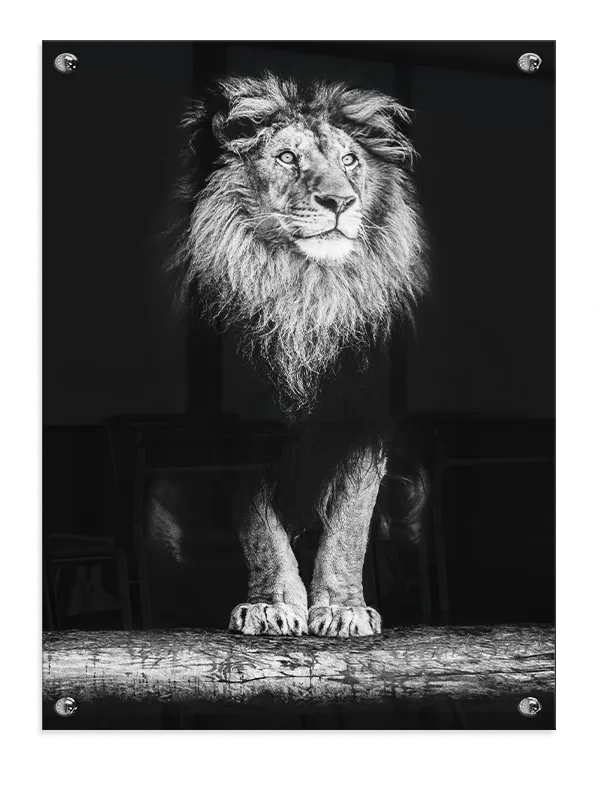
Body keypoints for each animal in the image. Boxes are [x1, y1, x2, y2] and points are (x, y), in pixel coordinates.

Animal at [165, 73, 429, 637]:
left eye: (350, 160)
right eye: (287, 157)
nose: (340, 201)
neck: (304, 294)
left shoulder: (367, 418)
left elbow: (350, 521)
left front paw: (343, 608)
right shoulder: (237, 424)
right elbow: (260, 529)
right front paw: (272, 605)